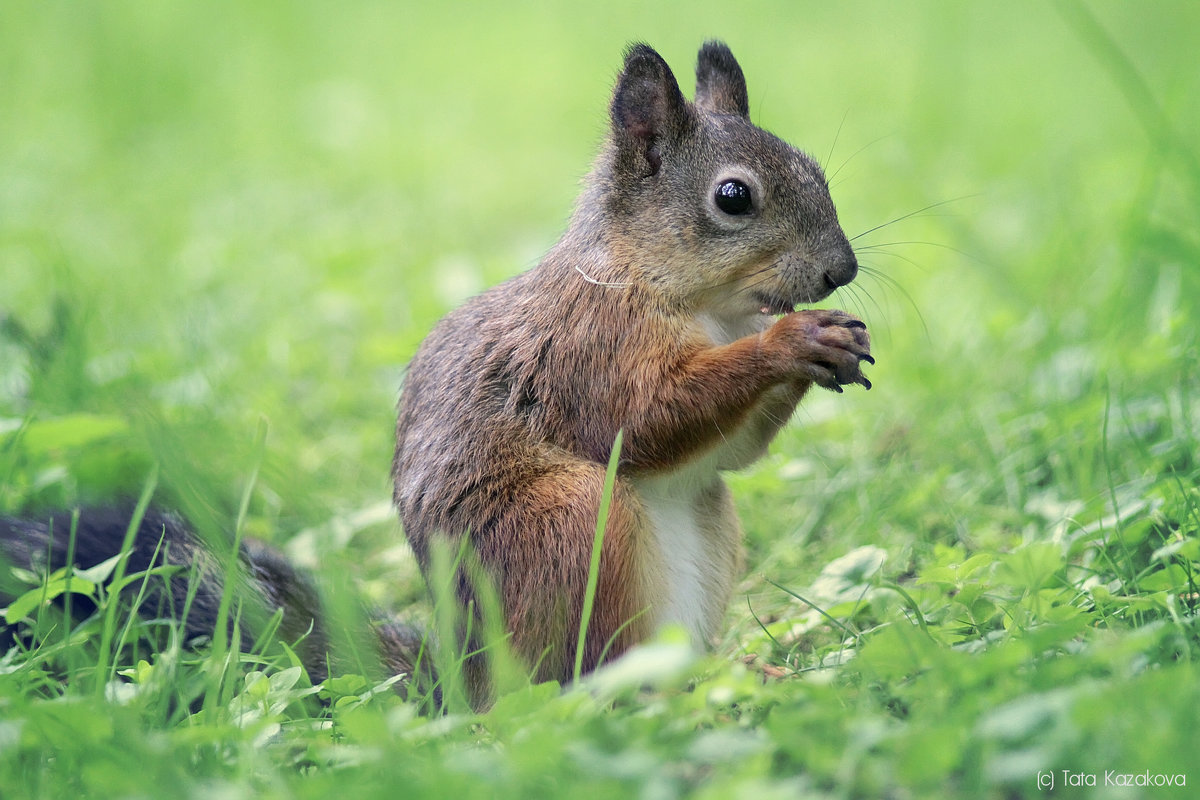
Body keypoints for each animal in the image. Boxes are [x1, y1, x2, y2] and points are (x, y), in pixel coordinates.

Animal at [0, 40, 873, 710]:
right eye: (733, 197)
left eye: (816, 168)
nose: (842, 271)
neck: (692, 300)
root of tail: (470, 682)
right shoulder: (585, 353)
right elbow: (647, 417)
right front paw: (792, 340)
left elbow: (731, 451)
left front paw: (836, 343)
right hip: (568, 526)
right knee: (581, 683)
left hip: (704, 522)